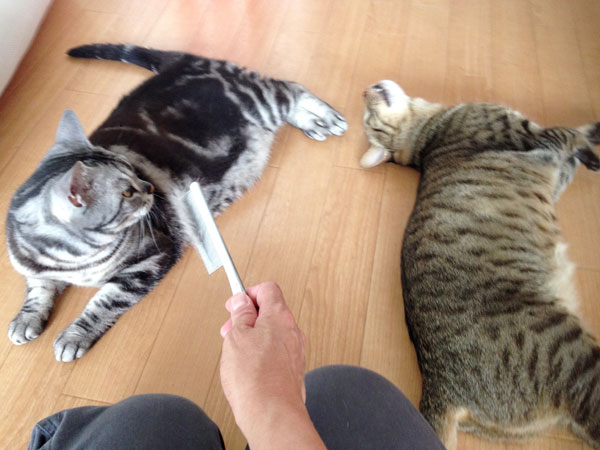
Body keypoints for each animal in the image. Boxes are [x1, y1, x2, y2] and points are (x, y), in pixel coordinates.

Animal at [6, 44, 347, 362]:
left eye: (133, 170)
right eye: (127, 192)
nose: (149, 187)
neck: (72, 259)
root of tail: (182, 62)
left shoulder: (150, 259)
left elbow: (102, 302)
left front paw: (73, 336)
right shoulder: (36, 271)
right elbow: (37, 290)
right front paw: (25, 319)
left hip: (257, 101)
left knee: (288, 87)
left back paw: (326, 117)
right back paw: (313, 123)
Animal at [361, 80, 600, 449]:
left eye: (368, 120)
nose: (364, 92)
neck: (429, 132)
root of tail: (439, 386)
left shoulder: (555, 173)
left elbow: (575, 149)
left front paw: (590, 154)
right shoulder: (533, 135)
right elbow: (572, 131)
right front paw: (593, 137)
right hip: (577, 360)